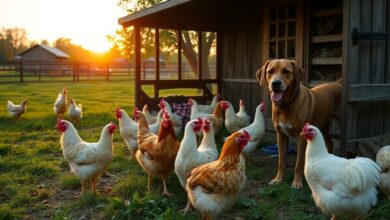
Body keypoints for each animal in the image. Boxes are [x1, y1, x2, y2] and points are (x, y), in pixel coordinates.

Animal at [256, 59, 342, 188]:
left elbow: (299, 163)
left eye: (286, 71)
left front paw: (297, 183)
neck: (286, 106)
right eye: (270, 71)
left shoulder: (301, 137)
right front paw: (278, 179)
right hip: (323, 124)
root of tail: (338, 83)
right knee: (330, 143)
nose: (275, 83)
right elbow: (281, 161)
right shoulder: (281, 135)